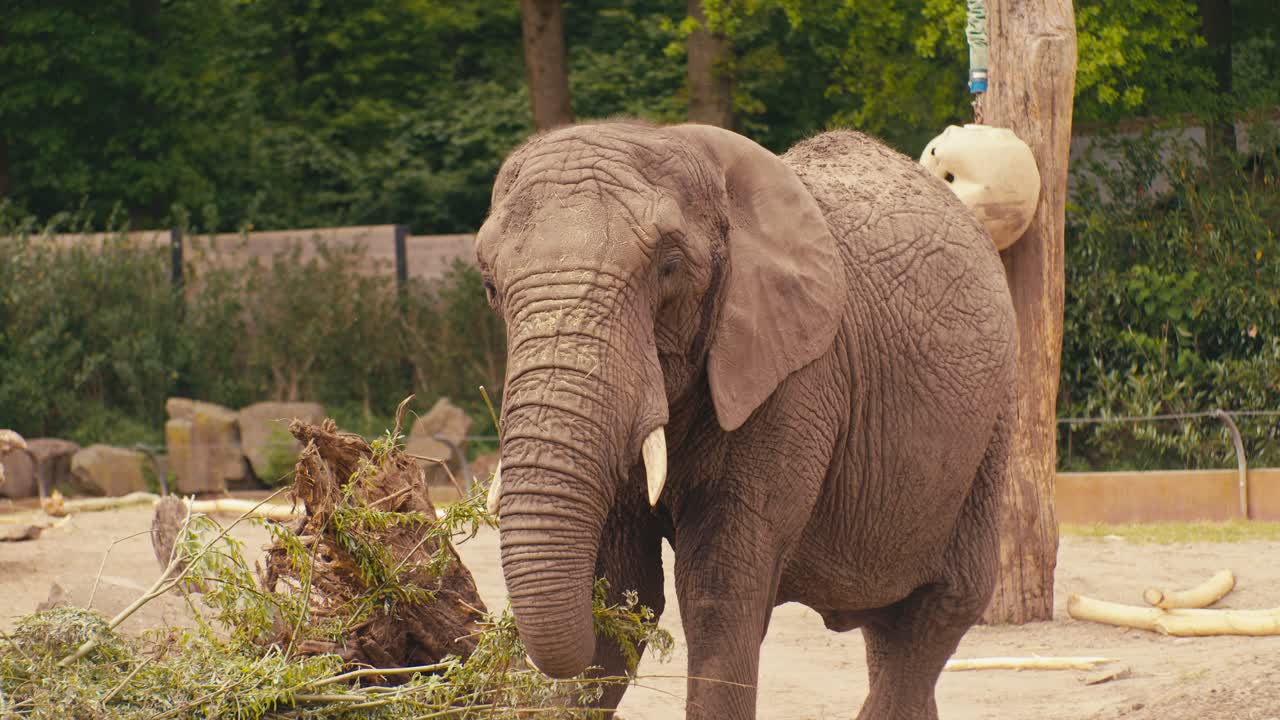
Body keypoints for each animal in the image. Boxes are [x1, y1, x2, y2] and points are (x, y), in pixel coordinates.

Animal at [476, 120, 1016, 720]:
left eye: (669, 268)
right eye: (490, 286)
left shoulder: (797, 376)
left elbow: (718, 591)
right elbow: (618, 588)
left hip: (991, 426)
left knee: (940, 609)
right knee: (891, 629)